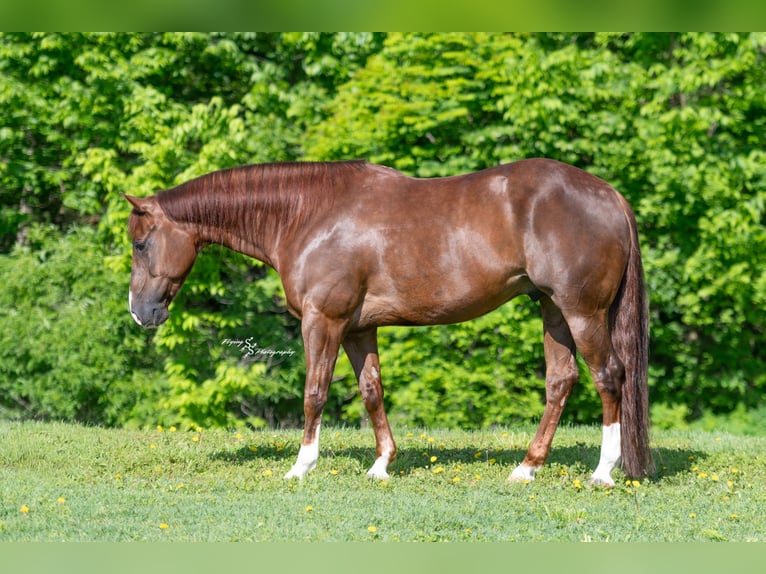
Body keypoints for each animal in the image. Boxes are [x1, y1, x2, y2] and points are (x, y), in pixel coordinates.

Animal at [126, 158, 653, 486]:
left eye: (140, 243)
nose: (139, 311)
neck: (308, 215)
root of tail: (609, 195)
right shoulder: (358, 328)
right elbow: (371, 391)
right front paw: (381, 464)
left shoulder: (324, 321)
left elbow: (315, 392)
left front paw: (301, 466)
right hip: (552, 310)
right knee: (560, 381)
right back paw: (527, 467)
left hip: (582, 312)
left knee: (610, 377)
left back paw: (604, 471)